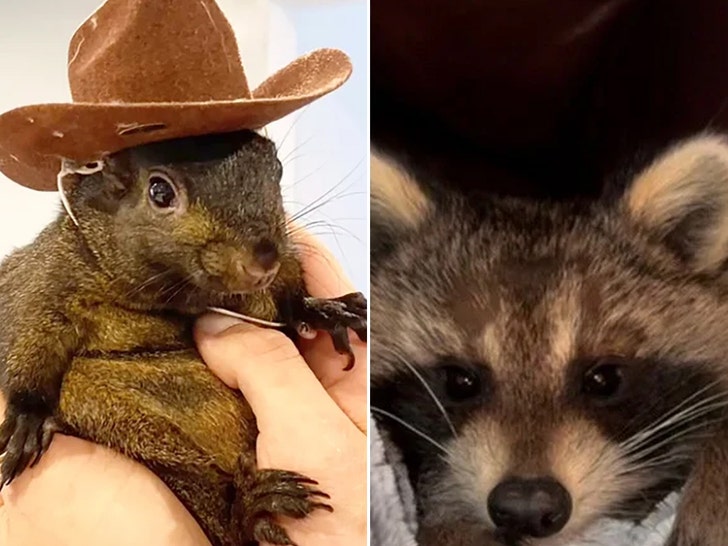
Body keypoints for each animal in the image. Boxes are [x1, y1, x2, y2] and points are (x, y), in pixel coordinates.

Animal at [0, 129, 367, 546]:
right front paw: (27, 417)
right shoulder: (47, 277)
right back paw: (251, 509)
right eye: (159, 192)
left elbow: (287, 298)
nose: (263, 260)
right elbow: (30, 331)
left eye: (276, 168)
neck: (176, 296)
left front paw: (322, 310)